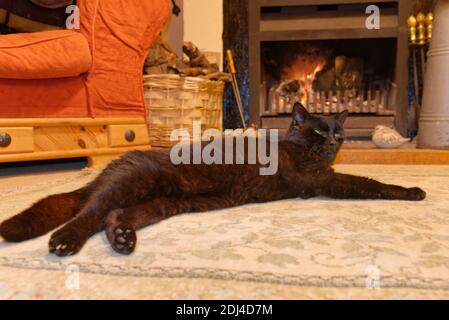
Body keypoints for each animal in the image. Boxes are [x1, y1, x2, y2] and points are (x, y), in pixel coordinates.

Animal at [0, 104, 424, 256]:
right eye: (319, 131)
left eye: (337, 130)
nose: (336, 140)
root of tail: (117, 161)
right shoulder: (322, 181)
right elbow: (371, 184)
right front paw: (413, 190)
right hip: (135, 183)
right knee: (88, 213)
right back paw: (65, 241)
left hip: (162, 202)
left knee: (112, 217)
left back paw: (123, 240)